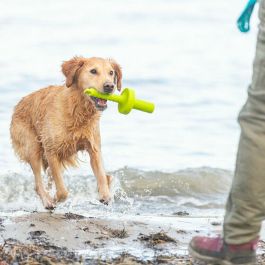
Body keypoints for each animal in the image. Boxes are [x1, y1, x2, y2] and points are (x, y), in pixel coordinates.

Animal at [9, 56, 121, 208]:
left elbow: (101, 174)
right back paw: (48, 201)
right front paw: (56, 198)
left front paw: (105, 194)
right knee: (38, 183)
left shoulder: (93, 147)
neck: (77, 109)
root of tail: (18, 105)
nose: (109, 86)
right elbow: (63, 191)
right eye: (93, 71)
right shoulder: (51, 151)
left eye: (111, 73)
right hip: (33, 147)